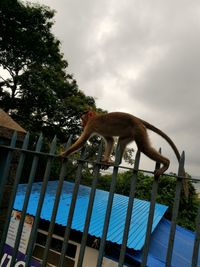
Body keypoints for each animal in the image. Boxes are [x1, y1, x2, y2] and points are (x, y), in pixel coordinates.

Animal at [59, 111, 189, 197]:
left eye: (83, 119)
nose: (82, 124)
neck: (95, 116)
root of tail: (137, 119)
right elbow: (110, 140)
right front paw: (105, 160)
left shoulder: (91, 125)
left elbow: (82, 141)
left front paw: (65, 153)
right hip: (132, 132)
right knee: (121, 142)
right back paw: (116, 162)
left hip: (138, 130)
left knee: (144, 148)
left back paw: (166, 163)